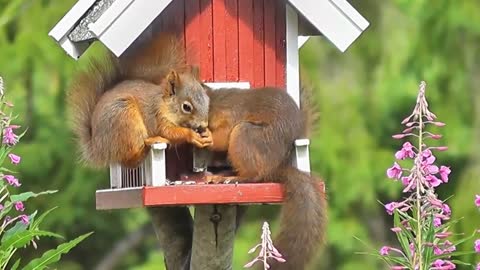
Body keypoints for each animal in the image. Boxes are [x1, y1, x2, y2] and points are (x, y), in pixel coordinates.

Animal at [67, 34, 212, 168]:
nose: (204, 125)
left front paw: (209, 135)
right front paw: (191, 135)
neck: (165, 104)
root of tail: (97, 148)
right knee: (130, 160)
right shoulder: (158, 116)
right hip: (125, 119)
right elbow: (169, 132)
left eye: (207, 100)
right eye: (186, 107)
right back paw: (151, 142)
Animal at [204, 85, 328, 270]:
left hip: (245, 136)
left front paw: (207, 137)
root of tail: (275, 169)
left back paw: (234, 178)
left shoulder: (231, 113)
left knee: (254, 175)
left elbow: (223, 137)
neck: (215, 102)